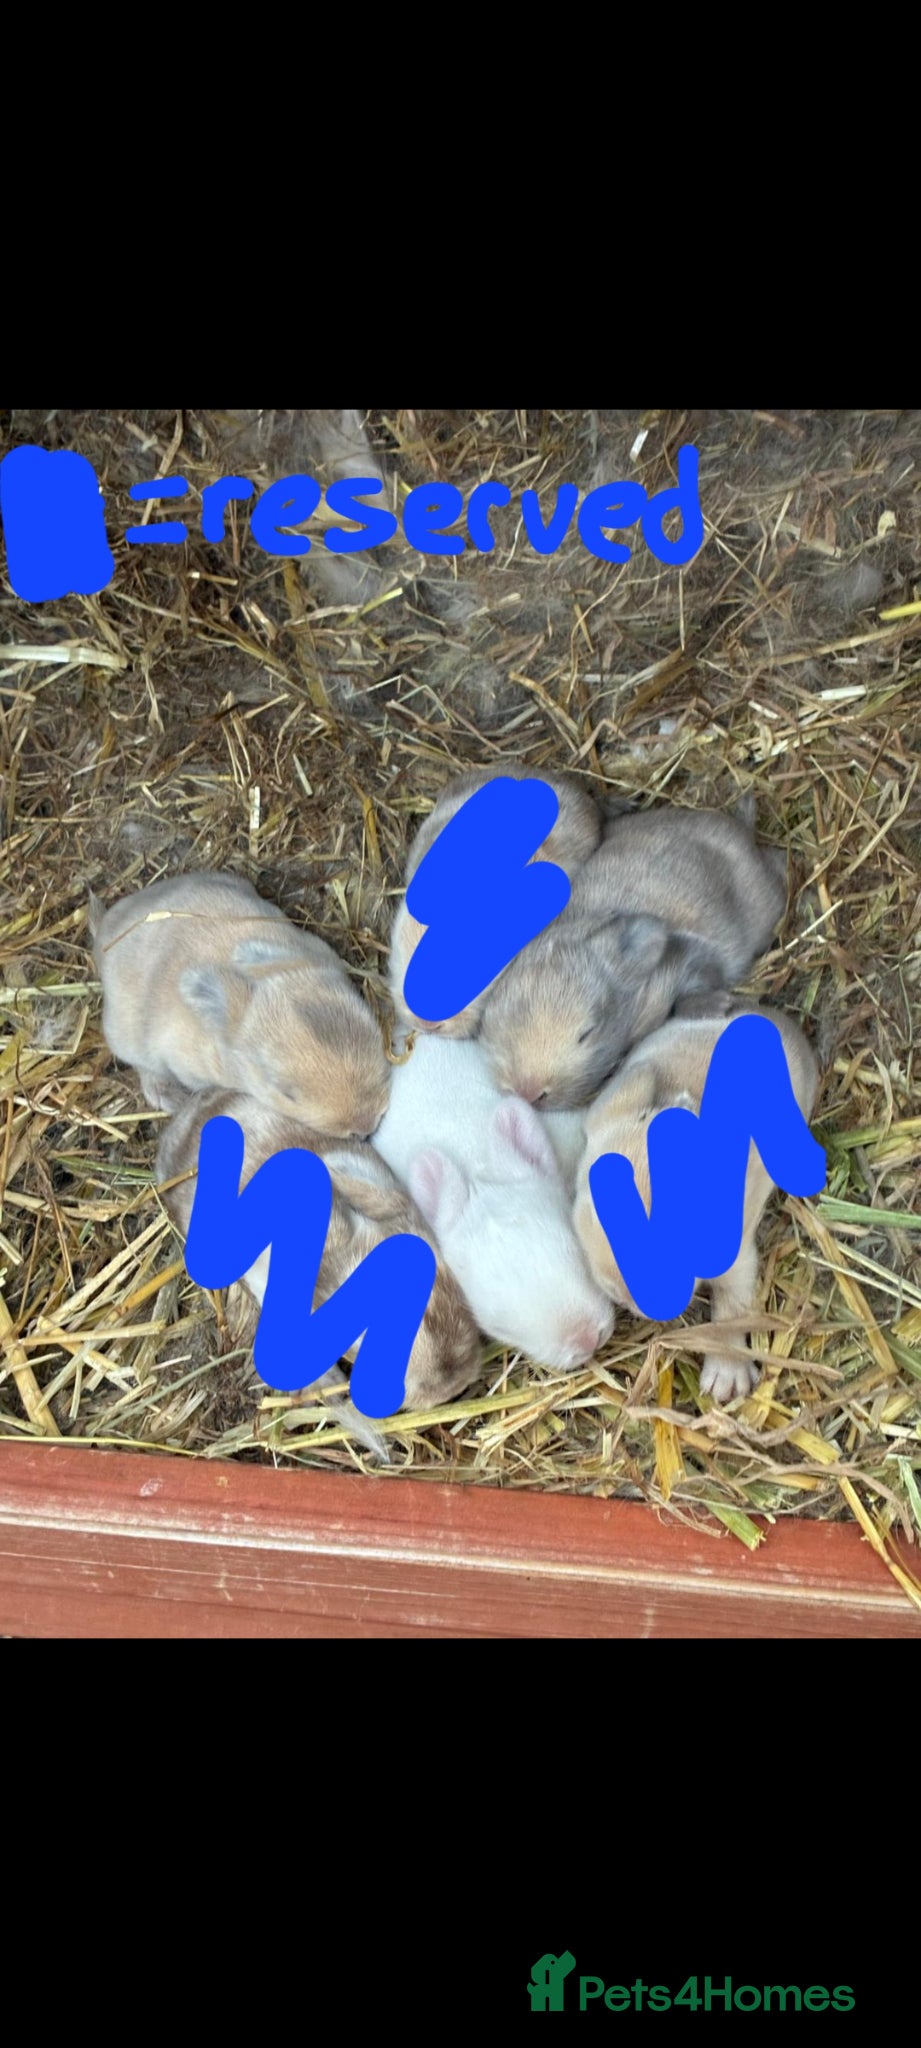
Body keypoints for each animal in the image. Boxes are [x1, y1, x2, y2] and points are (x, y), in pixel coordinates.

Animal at [478, 796, 788, 1110]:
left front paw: (718, 1005)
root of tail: (739, 828)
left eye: (587, 1033)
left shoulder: (688, 961)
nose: (528, 1093)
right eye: (491, 1027)